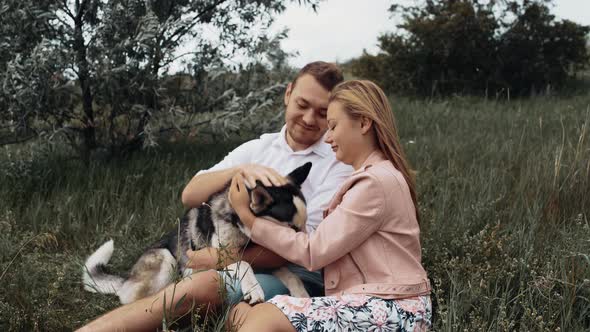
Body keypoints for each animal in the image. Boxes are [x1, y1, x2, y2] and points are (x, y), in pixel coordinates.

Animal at [85, 162, 314, 304]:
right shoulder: (220, 255)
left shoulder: (265, 259)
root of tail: (127, 278)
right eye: (292, 230)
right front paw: (254, 289)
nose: (307, 256)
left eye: (303, 226)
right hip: (166, 259)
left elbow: (291, 275)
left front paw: (302, 293)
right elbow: (244, 264)